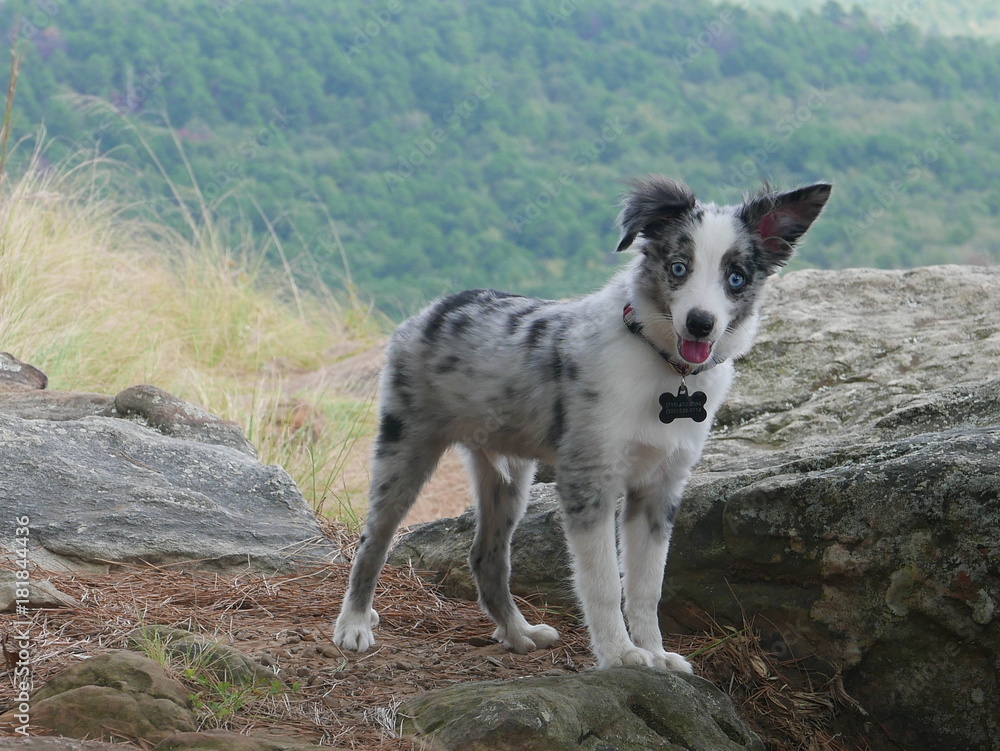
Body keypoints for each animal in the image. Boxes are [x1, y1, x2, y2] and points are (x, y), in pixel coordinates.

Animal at [332, 178, 832, 676]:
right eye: (678, 267)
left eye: (736, 278)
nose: (700, 324)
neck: (663, 366)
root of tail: (432, 310)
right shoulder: (589, 479)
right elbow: (604, 583)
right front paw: (619, 655)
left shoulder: (659, 490)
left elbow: (647, 587)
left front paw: (656, 654)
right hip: (406, 444)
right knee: (373, 541)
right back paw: (354, 624)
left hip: (508, 476)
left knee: (486, 556)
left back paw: (518, 633)